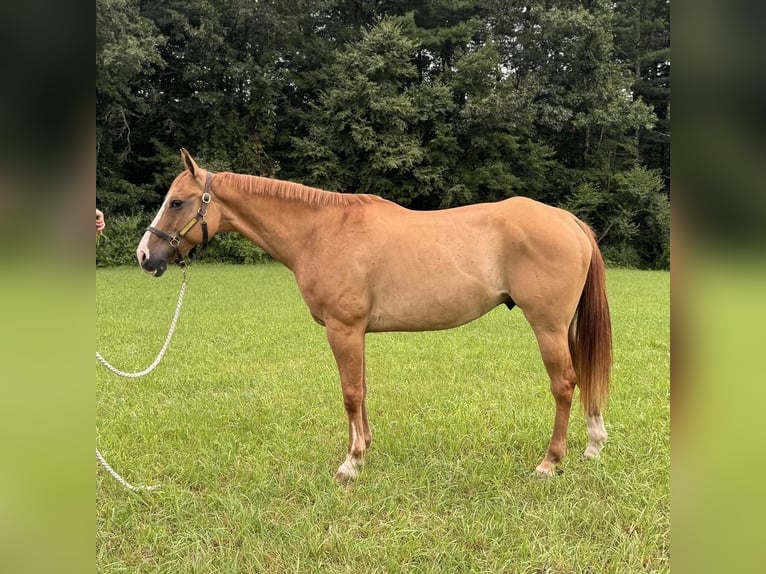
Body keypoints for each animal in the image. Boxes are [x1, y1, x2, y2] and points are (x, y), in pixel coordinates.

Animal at [135, 150, 608, 486]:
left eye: (176, 202)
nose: (144, 256)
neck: (321, 232)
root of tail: (568, 221)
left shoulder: (343, 330)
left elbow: (349, 394)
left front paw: (351, 464)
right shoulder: (356, 332)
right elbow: (360, 390)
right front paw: (362, 448)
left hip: (547, 327)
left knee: (564, 384)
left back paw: (550, 463)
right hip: (566, 328)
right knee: (584, 375)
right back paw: (593, 445)